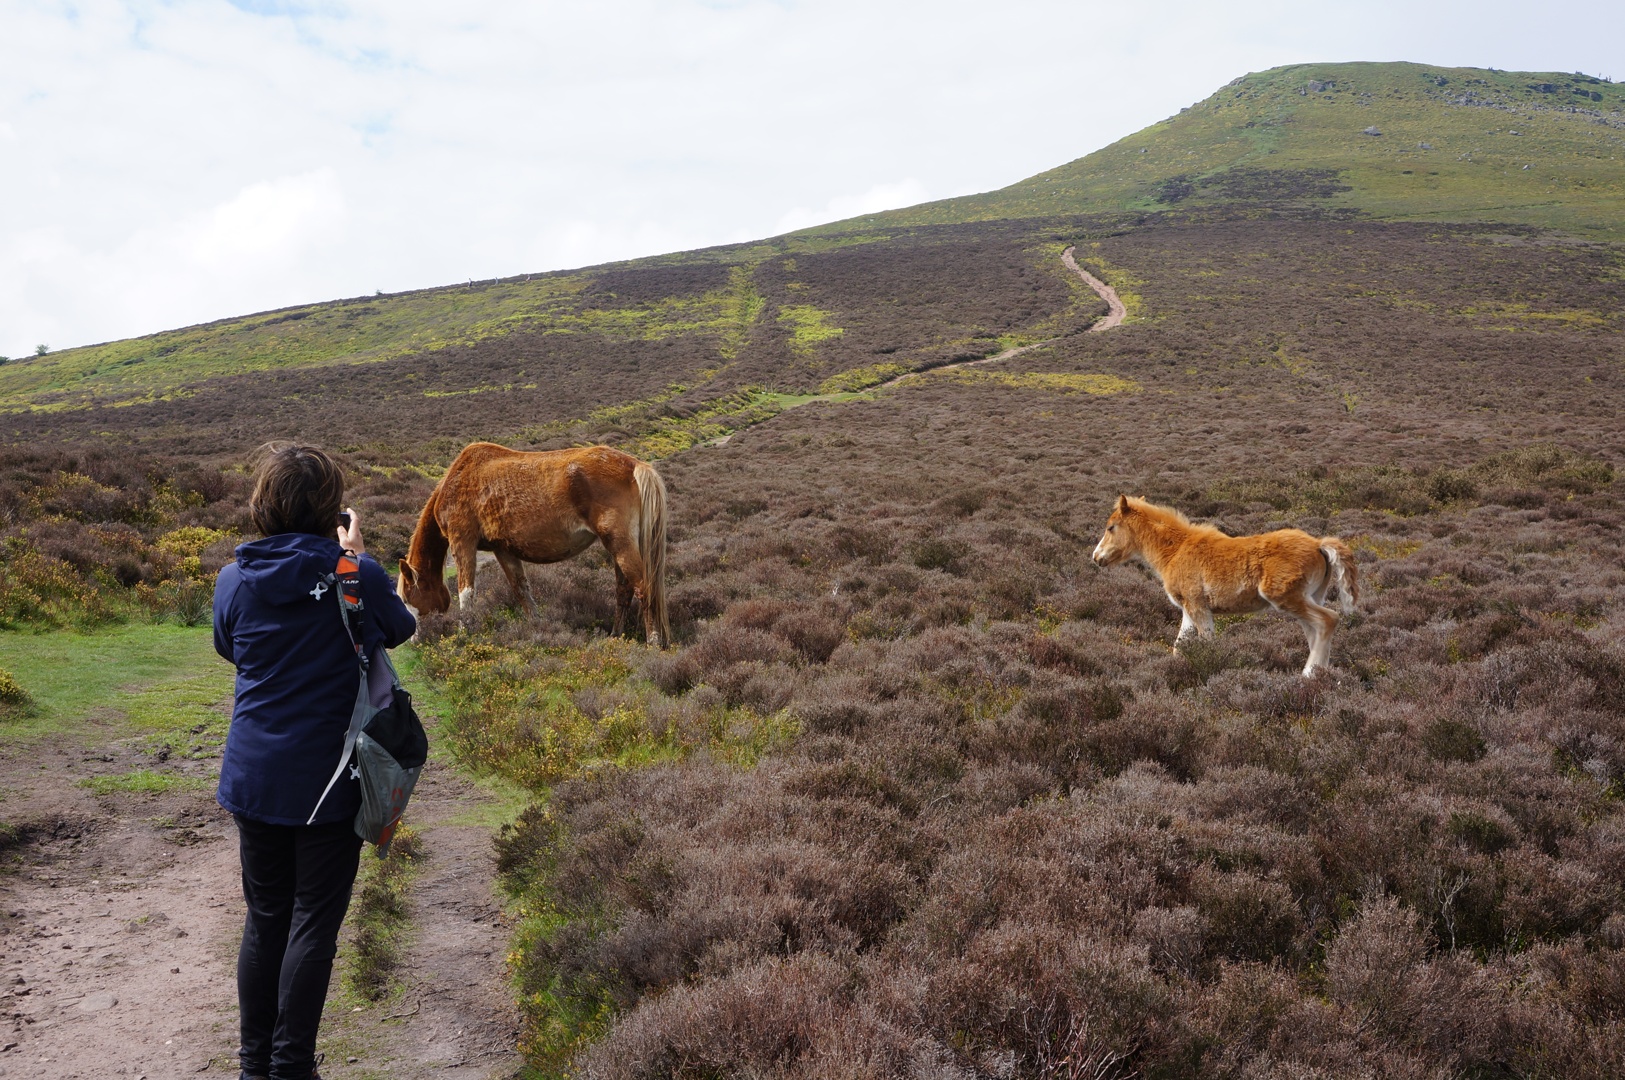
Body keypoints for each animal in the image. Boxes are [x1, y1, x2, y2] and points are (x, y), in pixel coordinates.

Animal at [399, 441, 672, 643]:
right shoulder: (503, 550)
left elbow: (466, 593)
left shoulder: (462, 542)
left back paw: (653, 640)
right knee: (624, 591)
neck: (458, 479)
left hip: (619, 543)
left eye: (407, 598)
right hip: (621, 545)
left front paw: (465, 634)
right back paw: (616, 635)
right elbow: (522, 590)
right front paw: (538, 627)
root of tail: (634, 465)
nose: (413, 639)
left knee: (643, 587)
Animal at [1092, 493, 1358, 675]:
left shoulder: (1198, 606)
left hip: (1286, 597)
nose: (1096, 557)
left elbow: (1207, 642)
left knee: (1328, 620)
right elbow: (1180, 644)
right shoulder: (1189, 608)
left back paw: (1308, 676)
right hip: (1309, 597)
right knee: (1316, 631)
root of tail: (1318, 544)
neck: (1176, 550)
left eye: (1111, 527)